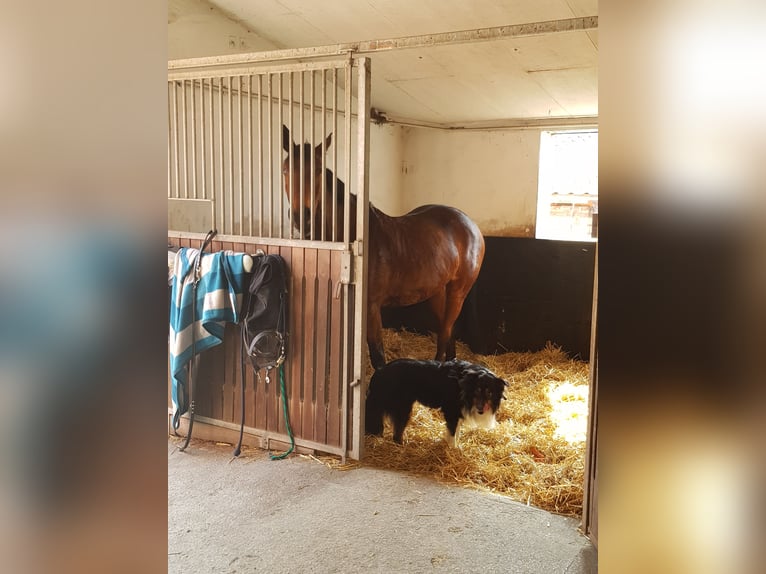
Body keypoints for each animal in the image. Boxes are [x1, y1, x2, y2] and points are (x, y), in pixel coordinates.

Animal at [282, 124, 486, 372]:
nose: (302, 218)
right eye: (285, 170)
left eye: (319, 171)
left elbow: (377, 354)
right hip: (438, 290)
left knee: (446, 330)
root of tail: (469, 224)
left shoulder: (370, 307)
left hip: (458, 290)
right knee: (447, 330)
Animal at [366, 360, 510, 450]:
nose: (480, 410)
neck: (465, 384)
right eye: (477, 390)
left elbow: (456, 432)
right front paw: (453, 450)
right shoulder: (451, 412)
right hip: (403, 409)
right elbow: (452, 434)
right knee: (396, 434)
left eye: (490, 393)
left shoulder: (457, 413)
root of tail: (379, 372)